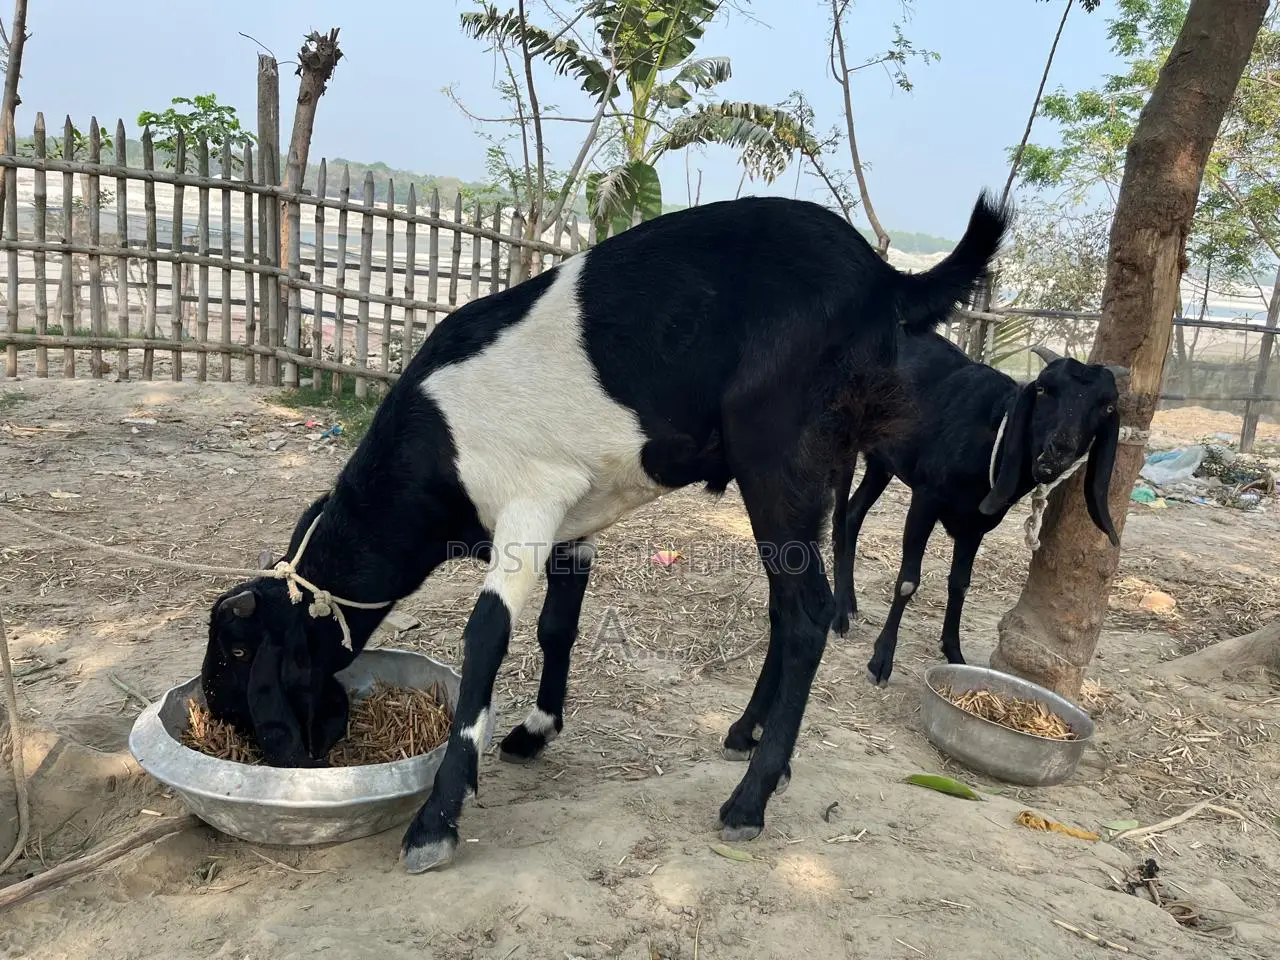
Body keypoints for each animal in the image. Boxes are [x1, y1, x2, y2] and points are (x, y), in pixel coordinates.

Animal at [200, 191, 1009, 874]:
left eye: (238, 650)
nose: (220, 718)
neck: (434, 447)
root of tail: (885, 278)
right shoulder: (573, 518)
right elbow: (557, 625)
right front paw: (537, 729)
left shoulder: (528, 501)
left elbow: (486, 637)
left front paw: (437, 820)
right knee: (786, 608)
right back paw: (750, 740)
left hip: (779, 454)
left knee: (807, 613)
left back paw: (749, 799)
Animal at [829, 338, 1127, 687]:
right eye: (1043, 389)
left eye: (1107, 407)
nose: (1058, 451)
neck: (992, 430)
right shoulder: (926, 499)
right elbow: (907, 581)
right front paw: (881, 661)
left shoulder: (976, 523)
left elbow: (960, 583)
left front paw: (954, 654)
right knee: (839, 518)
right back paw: (838, 615)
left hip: (881, 462)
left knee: (853, 514)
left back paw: (848, 602)